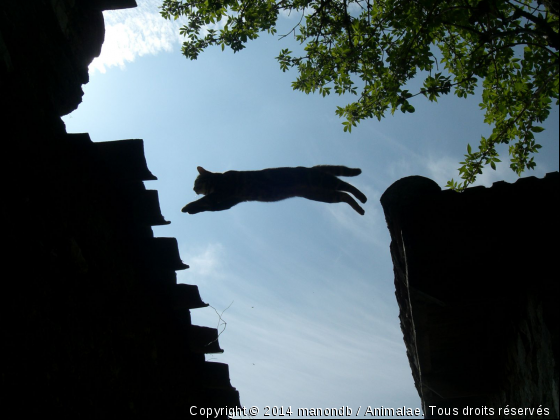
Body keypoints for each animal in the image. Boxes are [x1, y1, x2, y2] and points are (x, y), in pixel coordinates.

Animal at [182, 166, 368, 215]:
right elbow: (208, 206)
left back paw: (363, 197)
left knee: (345, 185)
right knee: (343, 195)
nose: (193, 188)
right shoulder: (227, 201)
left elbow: (204, 201)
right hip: (320, 195)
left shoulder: (222, 193)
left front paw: (186, 207)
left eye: (197, 181)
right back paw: (360, 209)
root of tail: (311, 168)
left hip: (322, 182)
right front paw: (191, 210)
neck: (218, 179)